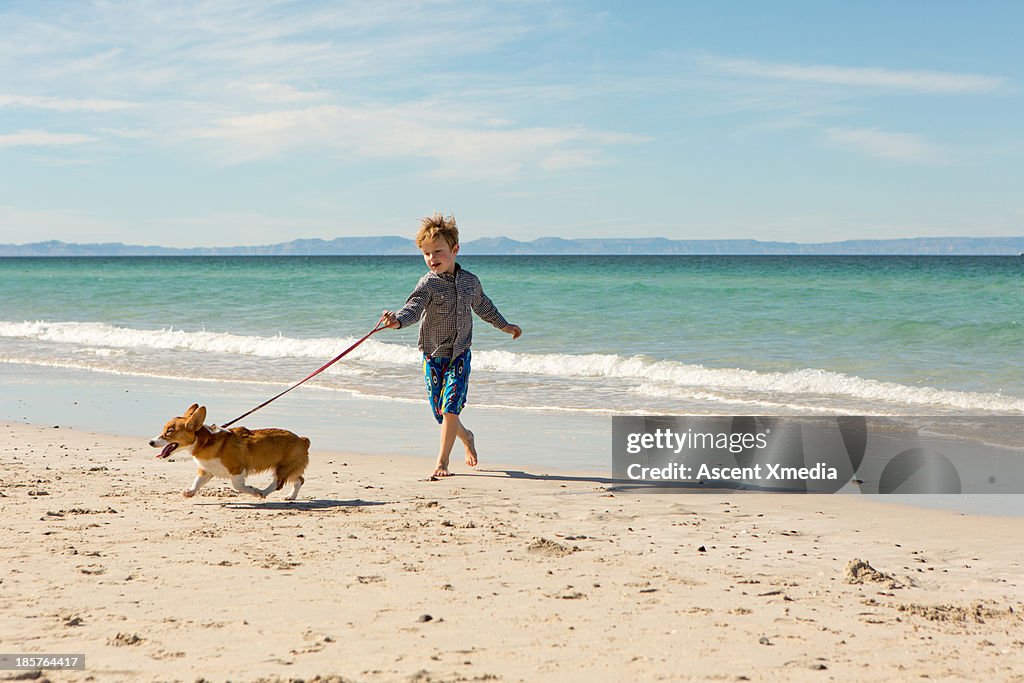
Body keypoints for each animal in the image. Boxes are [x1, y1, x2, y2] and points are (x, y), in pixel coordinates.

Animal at [148, 403, 307, 499]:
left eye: (169, 431)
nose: (150, 442)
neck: (204, 442)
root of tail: (303, 440)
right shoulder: (206, 470)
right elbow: (197, 481)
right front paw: (190, 492)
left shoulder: (237, 469)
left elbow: (237, 486)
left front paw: (253, 491)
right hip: (289, 468)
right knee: (299, 479)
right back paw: (291, 496)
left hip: (283, 467)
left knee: (278, 483)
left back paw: (262, 492)